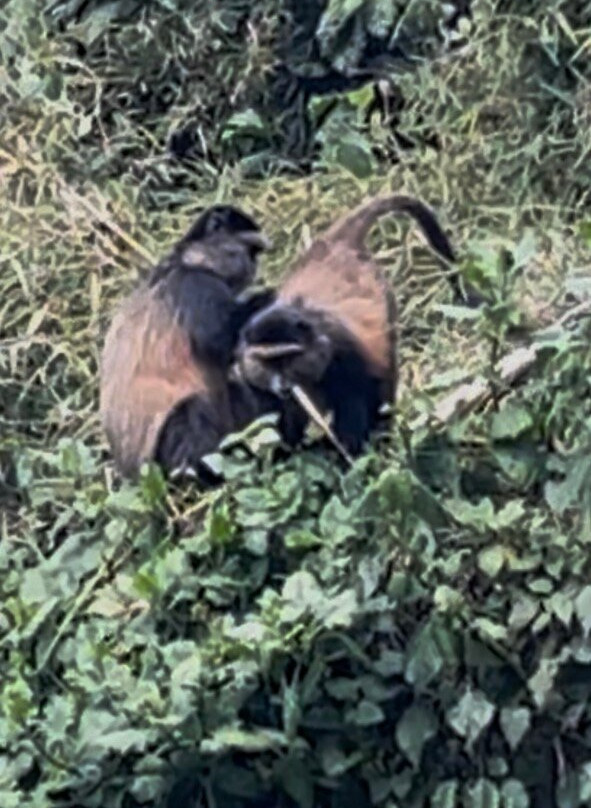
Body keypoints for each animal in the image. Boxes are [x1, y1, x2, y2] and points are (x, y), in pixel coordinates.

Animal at [99, 204, 277, 480]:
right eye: (250, 250)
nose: (253, 269)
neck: (188, 261)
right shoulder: (195, 287)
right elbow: (220, 340)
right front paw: (267, 297)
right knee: (192, 411)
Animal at [233, 194, 459, 458]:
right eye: (268, 361)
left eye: (289, 357)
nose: (285, 386)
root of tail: (337, 242)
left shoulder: (344, 352)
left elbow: (356, 401)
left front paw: (349, 452)